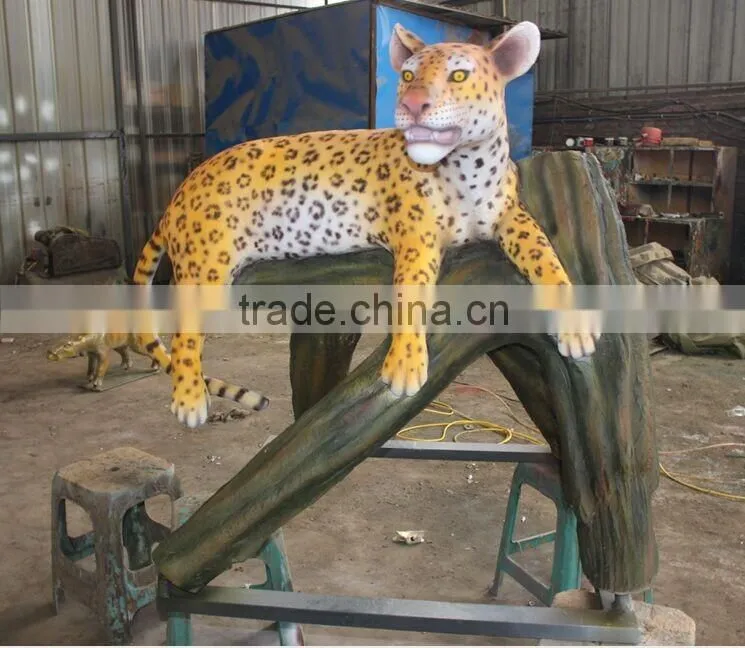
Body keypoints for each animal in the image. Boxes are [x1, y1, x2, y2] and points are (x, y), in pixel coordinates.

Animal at [129, 20, 601, 429]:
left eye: (459, 74)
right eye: (408, 74)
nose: (411, 106)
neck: (468, 168)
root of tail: (178, 194)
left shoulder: (512, 217)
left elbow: (549, 261)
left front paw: (575, 328)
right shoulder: (417, 238)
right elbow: (411, 294)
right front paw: (405, 365)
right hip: (205, 265)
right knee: (185, 331)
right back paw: (189, 399)